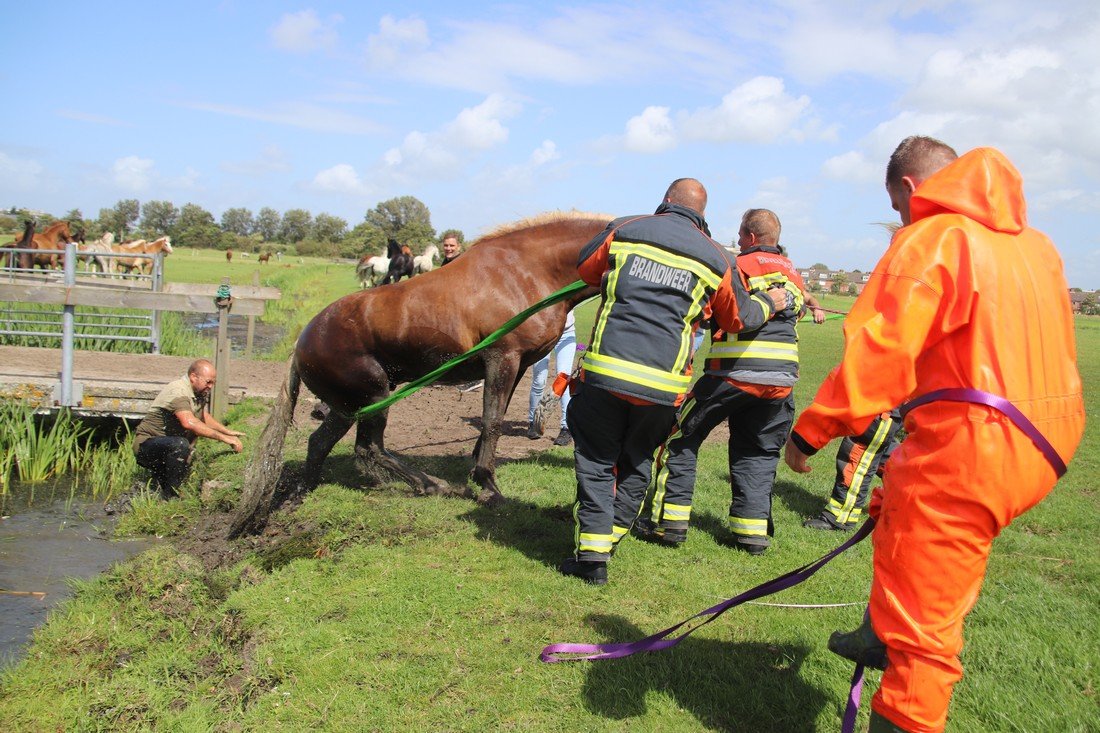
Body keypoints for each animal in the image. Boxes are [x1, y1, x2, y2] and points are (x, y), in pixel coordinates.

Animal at [229, 208, 611, 534]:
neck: (527, 271)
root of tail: (301, 343)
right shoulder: (502, 358)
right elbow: (492, 422)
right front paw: (488, 486)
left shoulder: (517, 365)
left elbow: (494, 418)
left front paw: (476, 472)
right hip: (371, 396)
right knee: (368, 448)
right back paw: (433, 485)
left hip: (351, 405)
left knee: (324, 445)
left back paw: (305, 493)